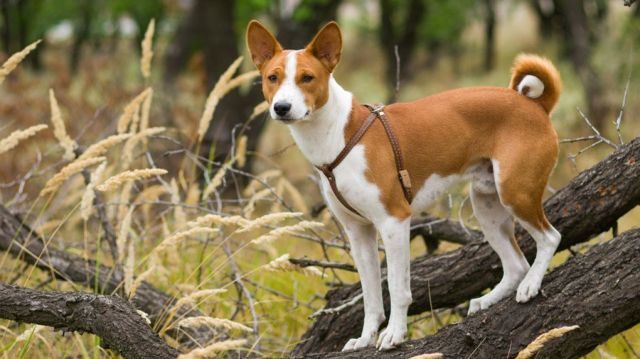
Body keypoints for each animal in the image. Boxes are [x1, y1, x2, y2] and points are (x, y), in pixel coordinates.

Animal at [248, 20, 564, 352]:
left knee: (550, 238)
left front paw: (394, 335)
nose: (282, 107)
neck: (339, 136)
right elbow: (371, 297)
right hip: (487, 205)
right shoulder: (359, 233)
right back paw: (488, 300)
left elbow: (398, 290)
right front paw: (365, 338)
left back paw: (532, 284)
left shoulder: (394, 221)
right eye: (272, 78)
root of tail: (535, 105)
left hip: (516, 193)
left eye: (307, 78)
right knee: (516, 264)